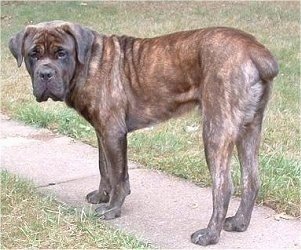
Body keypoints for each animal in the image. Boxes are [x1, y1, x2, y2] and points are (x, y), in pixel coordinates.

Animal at [8, 20, 276, 246]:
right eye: (33, 54)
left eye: (61, 53)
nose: (45, 74)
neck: (88, 62)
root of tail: (255, 51)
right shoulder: (102, 131)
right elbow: (103, 166)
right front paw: (102, 195)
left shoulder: (113, 132)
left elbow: (118, 175)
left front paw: (112, 209)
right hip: (248, 129)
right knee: (251, 178)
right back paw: (239, 223)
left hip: (216, 130)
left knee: (224, 186)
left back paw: (210, 234)